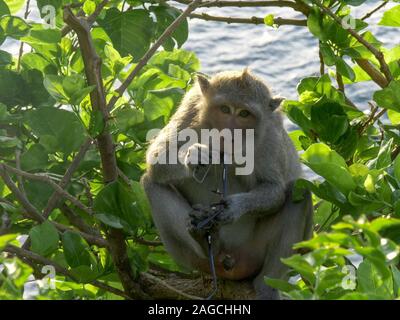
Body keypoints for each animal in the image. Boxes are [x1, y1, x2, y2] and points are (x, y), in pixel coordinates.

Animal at [141, 68, 312, 300]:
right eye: (225, 109)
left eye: (244, 114)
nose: (229, 131)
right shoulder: (190, 108)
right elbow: (157, 159)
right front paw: (193, 155)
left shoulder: (271, 135)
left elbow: (274, 188)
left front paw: (235, 207)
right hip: (195, 260)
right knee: (151, 182)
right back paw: (207, 244)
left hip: (253, 253)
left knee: (298, 192)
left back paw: (266, 287)